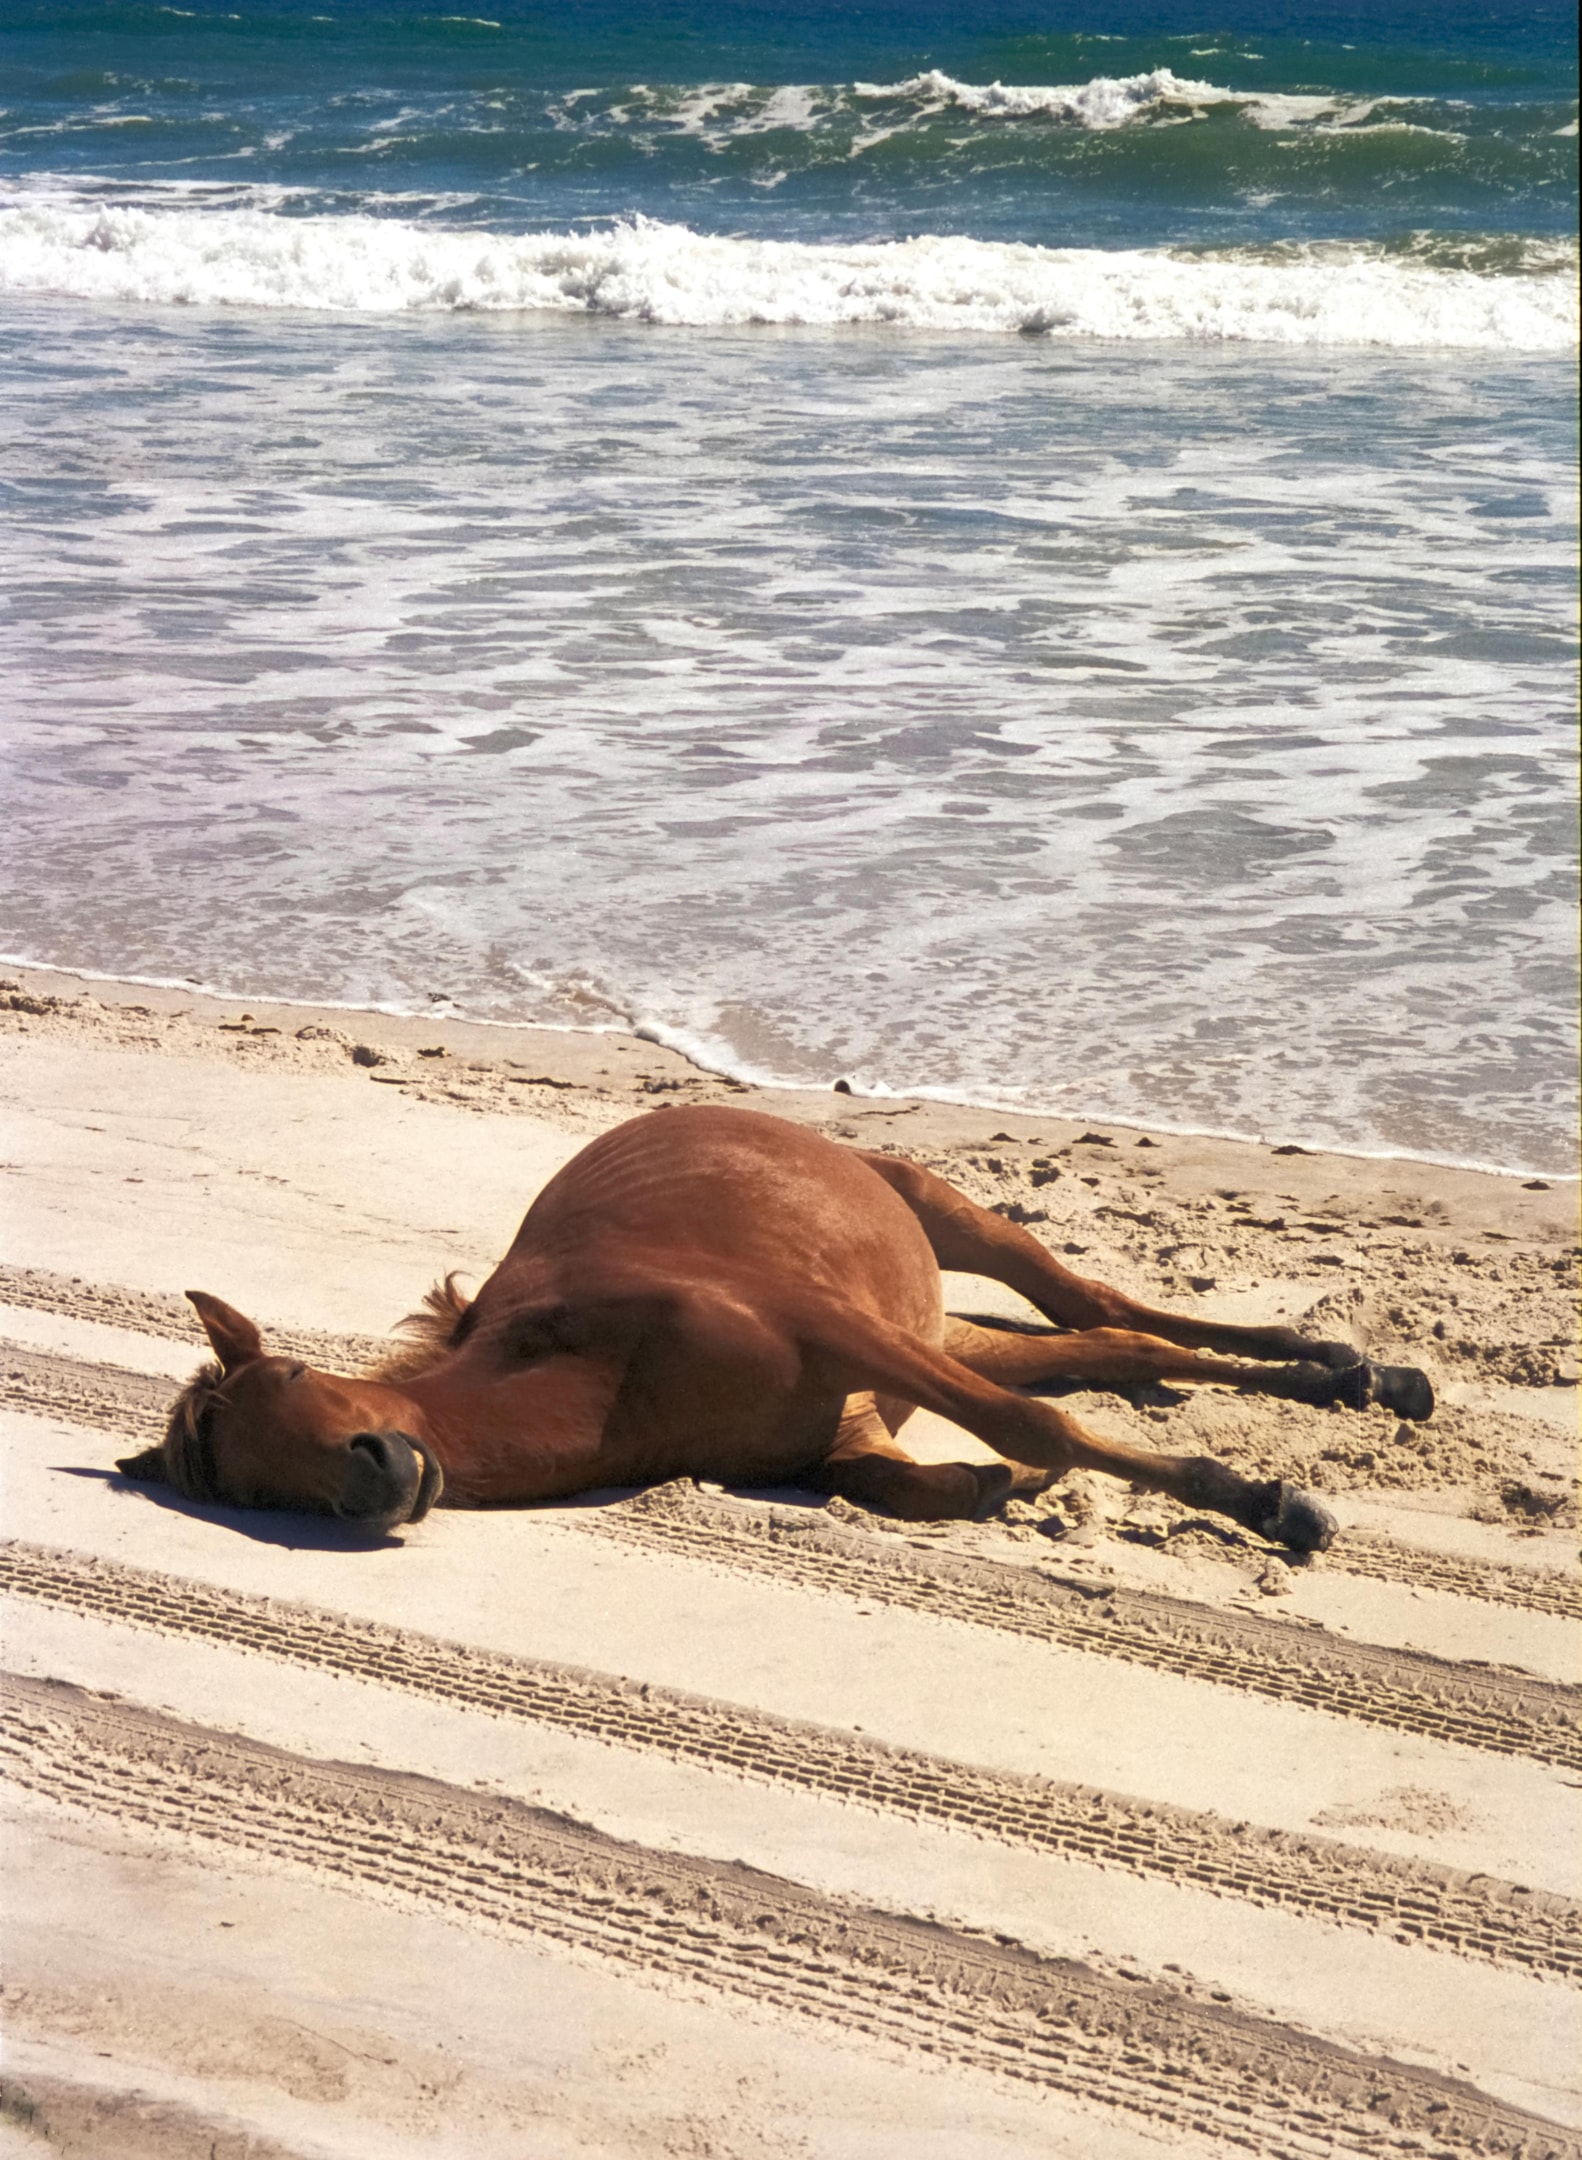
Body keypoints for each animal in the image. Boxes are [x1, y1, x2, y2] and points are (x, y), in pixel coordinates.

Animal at [118, 1105, 1434, 1552]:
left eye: (295, 1371)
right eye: (251, 1489)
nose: (381, 1474)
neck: (605, 1372)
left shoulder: (844, 1338)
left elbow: (1039, 1430)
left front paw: (1266, 1503)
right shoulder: (848, 1418)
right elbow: (931, 1473)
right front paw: (988, 1490)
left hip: (939, 1218)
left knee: (1097, 1311)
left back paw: (1354, 1372)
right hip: (942, 1324)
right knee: (1110, 1347)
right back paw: (1347, 1376)